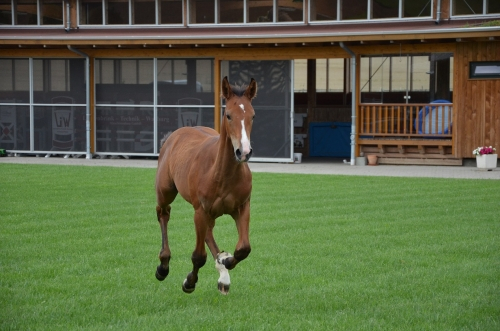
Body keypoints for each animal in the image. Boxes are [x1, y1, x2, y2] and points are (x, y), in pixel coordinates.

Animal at [155, 76, 258, 296]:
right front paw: (189, 282)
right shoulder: (200, 211)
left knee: (209, 232)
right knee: (163, 213)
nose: (244, 152)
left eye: (252, 115)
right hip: (166, 192)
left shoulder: (242, 207)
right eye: (228, 115)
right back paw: (163, 265)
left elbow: (243, 249)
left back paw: (223, 273)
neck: (221, 174)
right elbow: (198, 257)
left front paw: (225, 261)